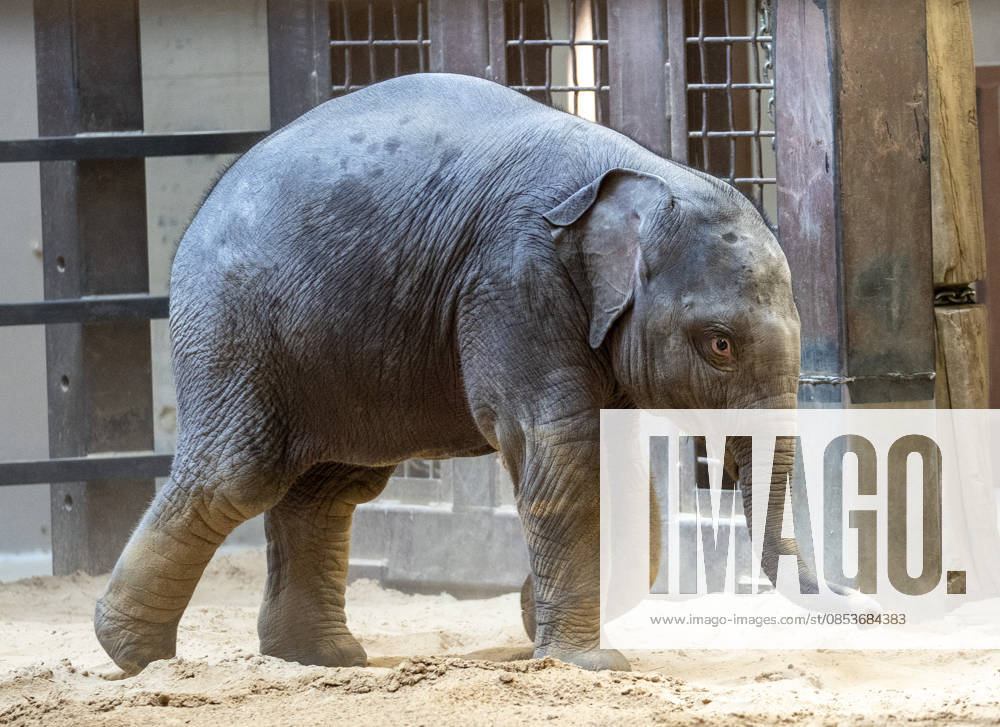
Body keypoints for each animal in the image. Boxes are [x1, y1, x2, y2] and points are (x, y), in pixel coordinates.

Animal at [94, 72, 804, 675]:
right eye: (719, 344)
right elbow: (563, 444)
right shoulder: (514, 283)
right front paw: (586, 664)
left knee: (329, 486)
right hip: (235, 326)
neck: (646, 174)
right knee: (237, 475)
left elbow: (612, 456)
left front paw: (541, 622)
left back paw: (320, 659)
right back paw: (134, 655)